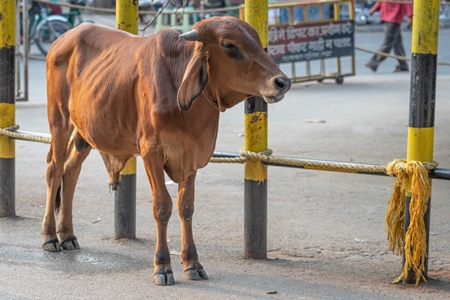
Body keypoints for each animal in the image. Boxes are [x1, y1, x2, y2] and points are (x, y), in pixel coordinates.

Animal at [43, 16, 292, 286]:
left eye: (257, 41)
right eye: (229, 45)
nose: (282, 82)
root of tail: (62, 39)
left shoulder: (192, 156)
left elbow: (186, 207)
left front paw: (192, 263)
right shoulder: (151, 152)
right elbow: (162, 207)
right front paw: (162, 266)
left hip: (85, 132)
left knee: (71, 171)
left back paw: (68, 235)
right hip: (59, 119)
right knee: (54, 170)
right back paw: (50, 236)